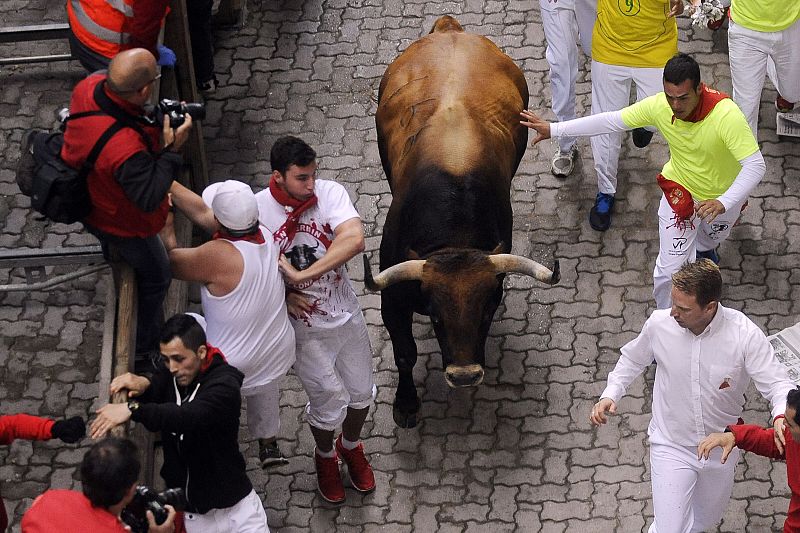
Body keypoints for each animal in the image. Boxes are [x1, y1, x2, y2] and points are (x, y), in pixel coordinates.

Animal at [366, 14, 560, 428]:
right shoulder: (392, 298)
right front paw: (406, 404)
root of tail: (450, 30)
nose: (465, 375)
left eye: (486, 311)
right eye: (437, 318)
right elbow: (404, 353)